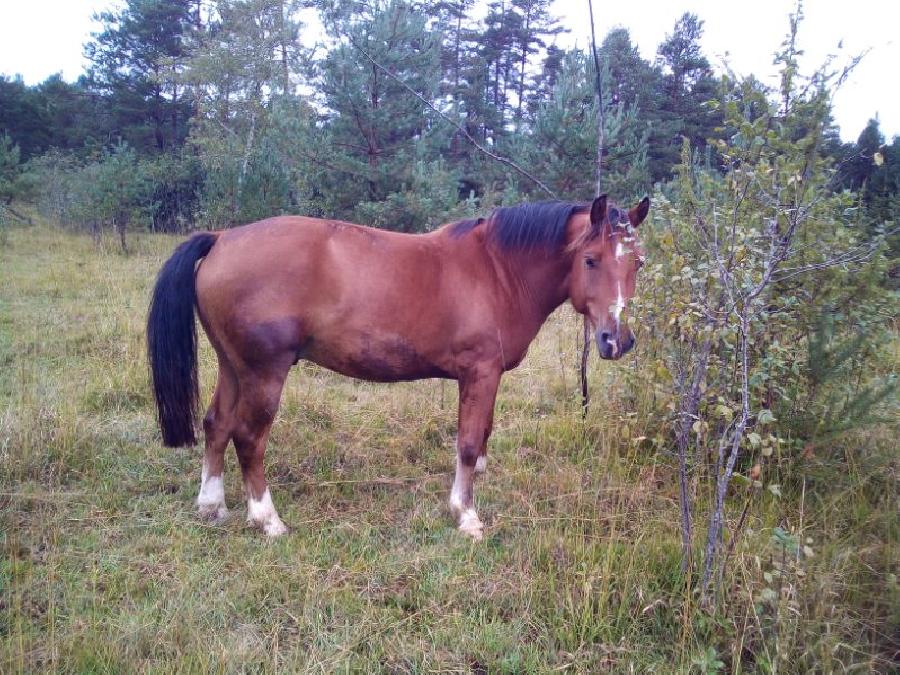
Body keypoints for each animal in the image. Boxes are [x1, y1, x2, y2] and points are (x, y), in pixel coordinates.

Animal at [151, 194, 652, 540]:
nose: (616, 340)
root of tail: (222, 238)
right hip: (264, 372)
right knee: (249, 438)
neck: (498, 270)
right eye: (590, 260)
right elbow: (468, 443)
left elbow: (482, 435)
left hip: (232, 366)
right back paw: (267, 519)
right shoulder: (480, 372)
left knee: (216, 425)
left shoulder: (486, 378)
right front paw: (466, 514)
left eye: (638, 263)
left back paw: (211, 505)